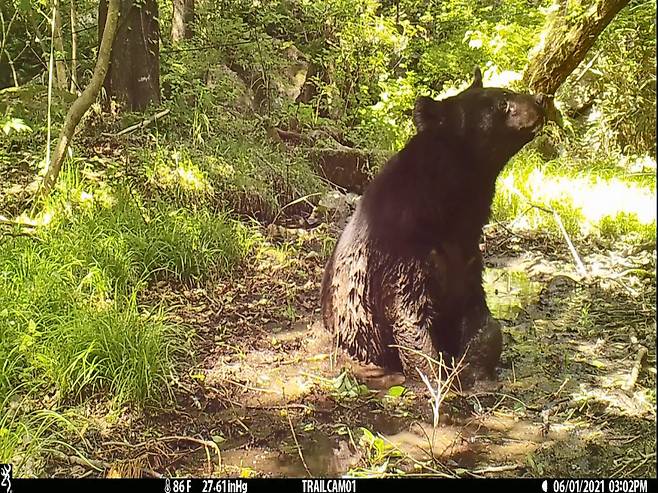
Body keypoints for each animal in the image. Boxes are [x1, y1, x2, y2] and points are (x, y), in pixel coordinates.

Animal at [320, 69, 544, 382]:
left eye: (507, 91)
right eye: (502, 102)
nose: (541, 100)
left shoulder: (466, 252)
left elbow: (479, 314)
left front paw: (472, 365)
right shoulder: (401, 255)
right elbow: (409, 319)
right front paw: (436, 375)